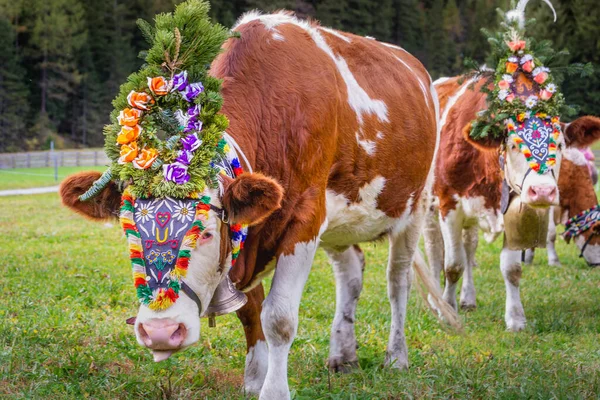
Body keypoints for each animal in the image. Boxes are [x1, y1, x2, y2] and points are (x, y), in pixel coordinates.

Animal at [59, 1, 454, 398]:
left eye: (205, 232)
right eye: (129, 232)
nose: (160, 331)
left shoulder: (306, 217)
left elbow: (278, 317)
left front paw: (274, 389)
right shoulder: (249, 235)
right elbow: (250, 310)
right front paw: (253, 378)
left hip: (414, 207)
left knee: (397, 281)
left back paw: (396, 356)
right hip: (342, 219)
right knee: (351, 273)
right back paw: (343, 355)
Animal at [422, 0, 600, 332]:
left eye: (560, 144)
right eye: (515, 143)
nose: (542, 191)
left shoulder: (515, 206)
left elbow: (511, 268)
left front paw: (516, 318)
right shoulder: (449, 203)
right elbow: (452, 265)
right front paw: (447, 310)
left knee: (469, 247)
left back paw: (468, 298)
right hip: (426, 206)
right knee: (436, 252)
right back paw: (436, 299)